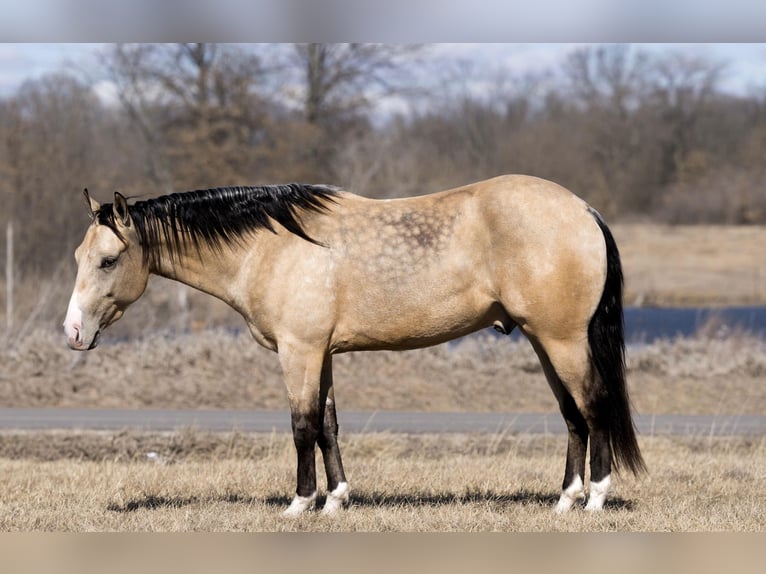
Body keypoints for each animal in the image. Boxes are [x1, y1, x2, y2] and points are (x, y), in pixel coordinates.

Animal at [63, 176, 644, 516]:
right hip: (543, 342)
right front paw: (336, 500)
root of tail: (583, 209)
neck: (270, 246)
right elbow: (328, 426)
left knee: (593, 407)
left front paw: (300, 504)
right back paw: (565, 500)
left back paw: (595, 499)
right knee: (573, 415)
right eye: (78, 256)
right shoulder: (321, 354)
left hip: (562, 341)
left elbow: (301, 426)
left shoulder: (299, 351)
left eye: (108, 261)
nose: (72, 332)